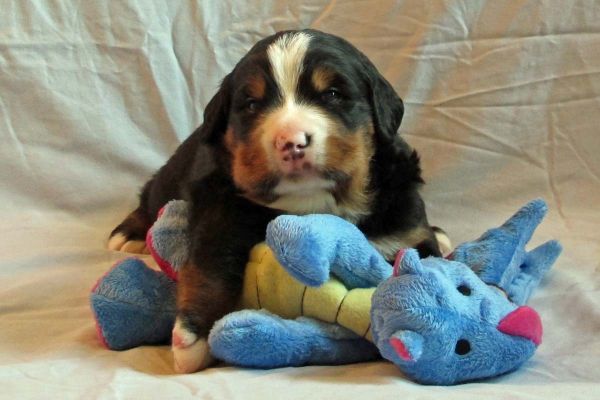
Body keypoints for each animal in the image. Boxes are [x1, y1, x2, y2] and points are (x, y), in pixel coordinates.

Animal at [108, 29, 448, 374]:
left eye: (333, 94)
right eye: (252, 104)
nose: (291, 141)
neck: (312, 203)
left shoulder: (407, 230)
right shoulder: (222, 213)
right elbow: (210, 266)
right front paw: (194, 334)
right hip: (172, 175)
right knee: (149, 196)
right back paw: (127, 234)